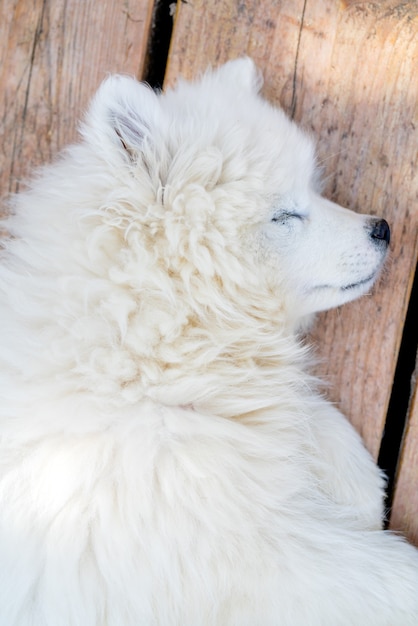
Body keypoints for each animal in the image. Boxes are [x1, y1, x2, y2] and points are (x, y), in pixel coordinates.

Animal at [0, 59, 418, 624]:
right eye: (285, 215)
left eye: (311, 191)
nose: (383, 229)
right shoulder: (235, 545)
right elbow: (382, 577)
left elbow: (304, 415)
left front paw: (358, 488)